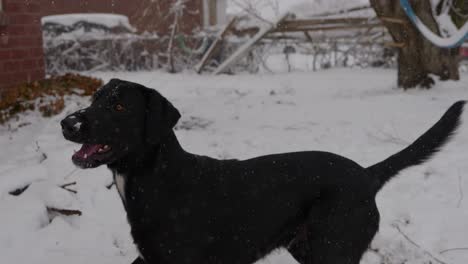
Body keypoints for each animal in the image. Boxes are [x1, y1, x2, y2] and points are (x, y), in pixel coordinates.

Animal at [61, 79, 464, 264]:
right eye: (95, 99)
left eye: (119, 106)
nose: (67, 123)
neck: (159, 181)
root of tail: (366, 174)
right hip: (308, 249)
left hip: (335, 248)